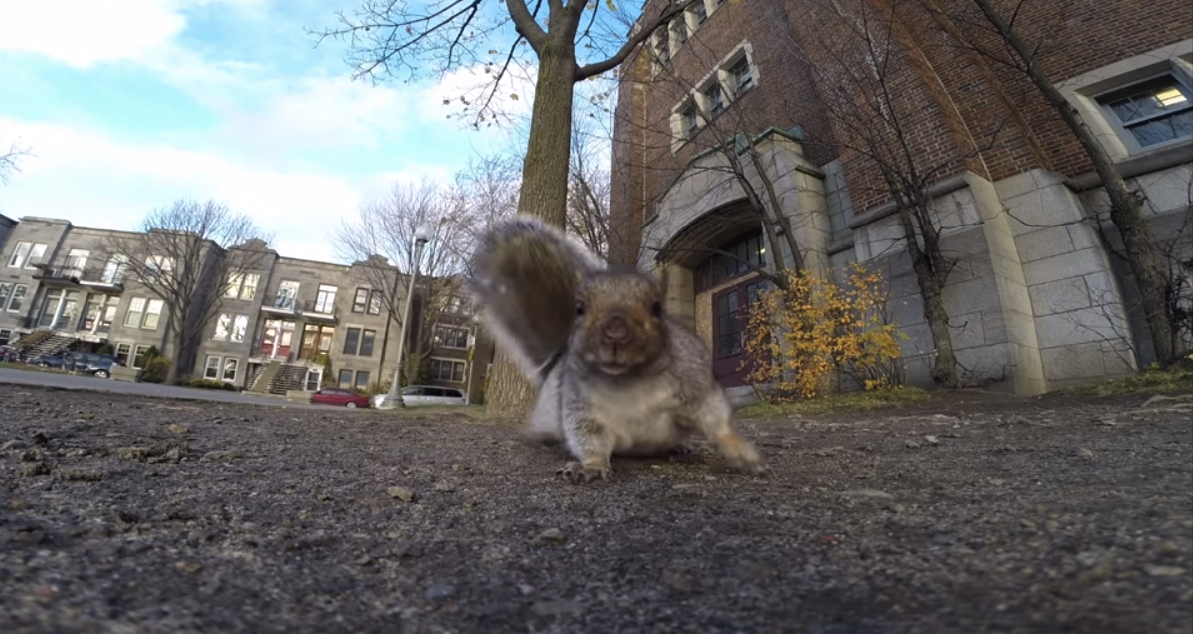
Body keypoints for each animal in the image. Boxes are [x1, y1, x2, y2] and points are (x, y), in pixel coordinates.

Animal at [466, 215, 766, 484]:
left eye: (657, 307)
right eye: (579, 308)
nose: (616, 333)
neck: (629, 382)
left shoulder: (696, 384)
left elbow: (715, 420)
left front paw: (740, 451)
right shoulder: (582, 409)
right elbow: (590, 439)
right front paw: (590, 466)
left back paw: (678, 446)